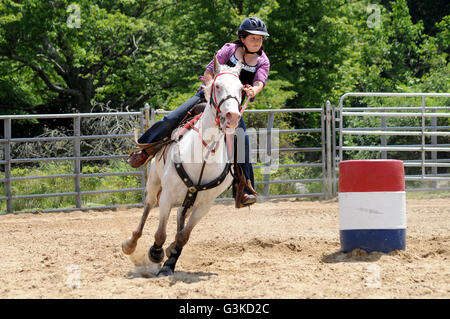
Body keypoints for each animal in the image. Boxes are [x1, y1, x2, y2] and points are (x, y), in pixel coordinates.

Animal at [121, 58, 244, 278]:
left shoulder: (204, 206)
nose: (232, 116)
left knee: (180, 217)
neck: (203, 158)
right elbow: (160, 233)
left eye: (241, 89)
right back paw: (131, 243)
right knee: (148, 207)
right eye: (217, 86)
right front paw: (156, 253)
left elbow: (183, 236)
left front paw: (169, 263)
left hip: (188, 201)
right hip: (154, 181)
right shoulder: (167, 196)